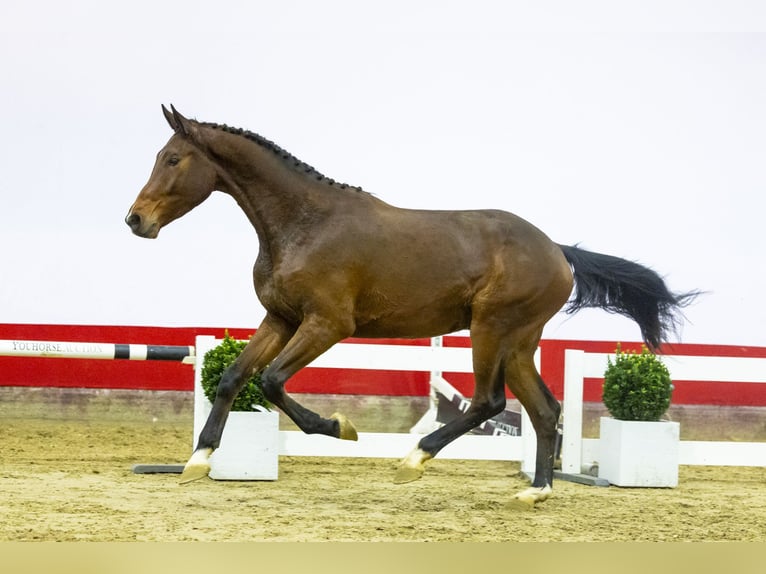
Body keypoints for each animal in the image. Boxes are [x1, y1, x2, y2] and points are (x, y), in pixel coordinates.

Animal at [126, 104, 704, 508]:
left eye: (172, 159)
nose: (135, 220)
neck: (304, 224)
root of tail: (559, 251)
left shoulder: (328, 324)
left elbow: (270, 382)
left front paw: (341, 427)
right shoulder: (281, 318)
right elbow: (233, 378)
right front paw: (199, 459)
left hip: (489, 329)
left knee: (488, 402)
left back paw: (414, 459)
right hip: (518, 341)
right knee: (544, 409)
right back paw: (535, 491)